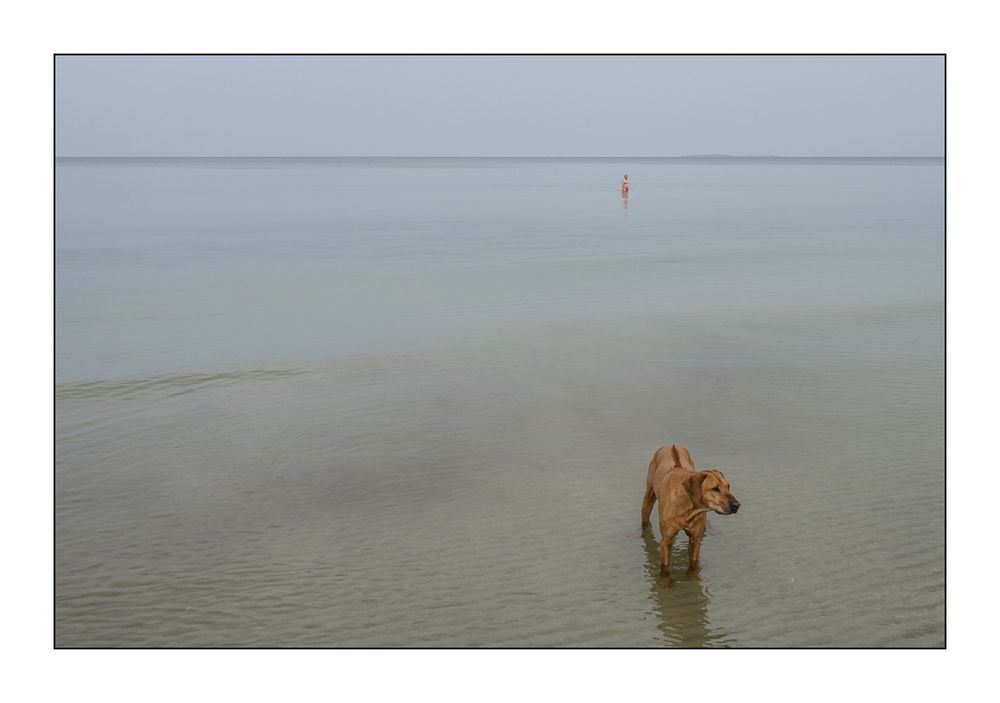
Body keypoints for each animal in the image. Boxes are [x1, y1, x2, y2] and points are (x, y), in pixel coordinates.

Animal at [640, 446, 736, 576]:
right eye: (715, 489)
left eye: (728, 486)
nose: (737, 505)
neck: (688, 508)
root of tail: (670, 445)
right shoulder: (665, 539)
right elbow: (664, 566)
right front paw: (664, 580)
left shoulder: (695, 539)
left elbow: (693, 564)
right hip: (648, 498)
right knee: (645, 521)